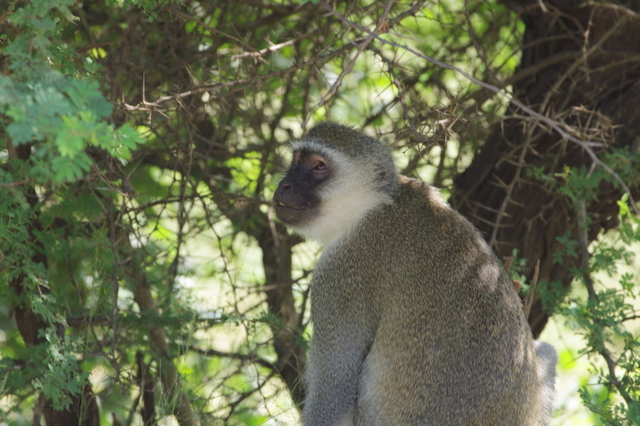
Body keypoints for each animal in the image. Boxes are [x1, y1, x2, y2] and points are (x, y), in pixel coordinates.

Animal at [272, 121, 556, 424]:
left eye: (319, 167)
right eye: (297, 160)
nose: (285, 184)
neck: (374, 206)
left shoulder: (338, 277)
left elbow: (333, 401)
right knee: (546, 351)